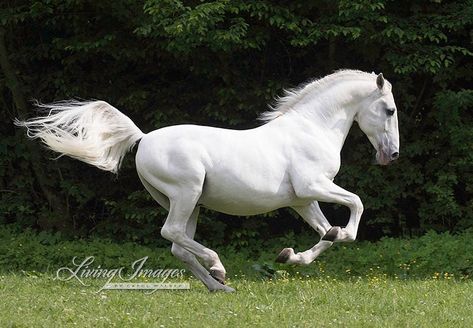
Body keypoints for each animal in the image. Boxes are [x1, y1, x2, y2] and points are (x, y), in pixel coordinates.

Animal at [14, 69, 398, 292]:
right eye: (390, 110)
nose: (392, 154)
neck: (312, 128)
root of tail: (144, 138)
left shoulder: (303, 200)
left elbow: (325, 235)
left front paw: (289, 256)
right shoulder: (313, 188)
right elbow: (355, 207)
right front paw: (335, 235)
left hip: (188, 202)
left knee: (178, 245)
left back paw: (220, 286)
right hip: (186, 193)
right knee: (172, 234)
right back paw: (218, 269)